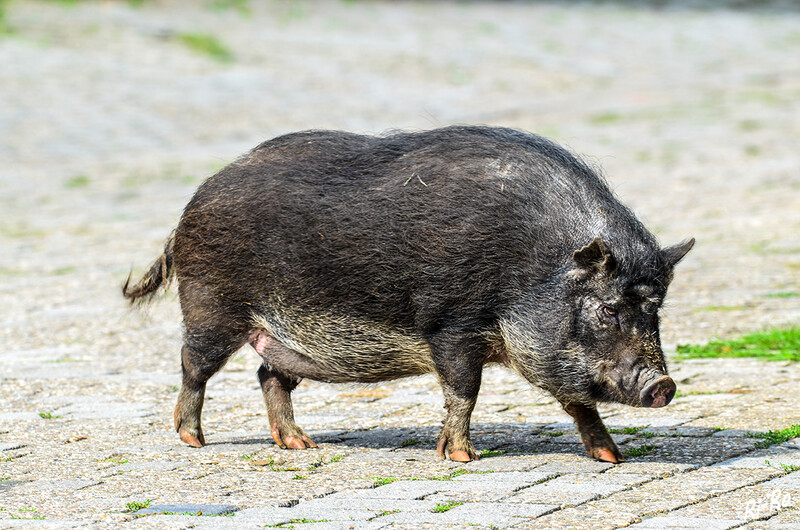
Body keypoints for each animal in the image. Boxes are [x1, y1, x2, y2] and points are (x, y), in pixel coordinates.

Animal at [125, 126, 692, 460]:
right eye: (607, 308)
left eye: (656, 310)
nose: (663, 385)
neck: (533, 270)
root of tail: (191, 207)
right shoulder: (453, 328)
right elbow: (464, 391)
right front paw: (461, 457)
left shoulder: (547, 354)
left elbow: (579, 403)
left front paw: (612, 458)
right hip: (213, 306)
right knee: (193, 365)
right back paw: (194, 440)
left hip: (283, 338)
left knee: (268, 376)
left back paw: (301, 446)